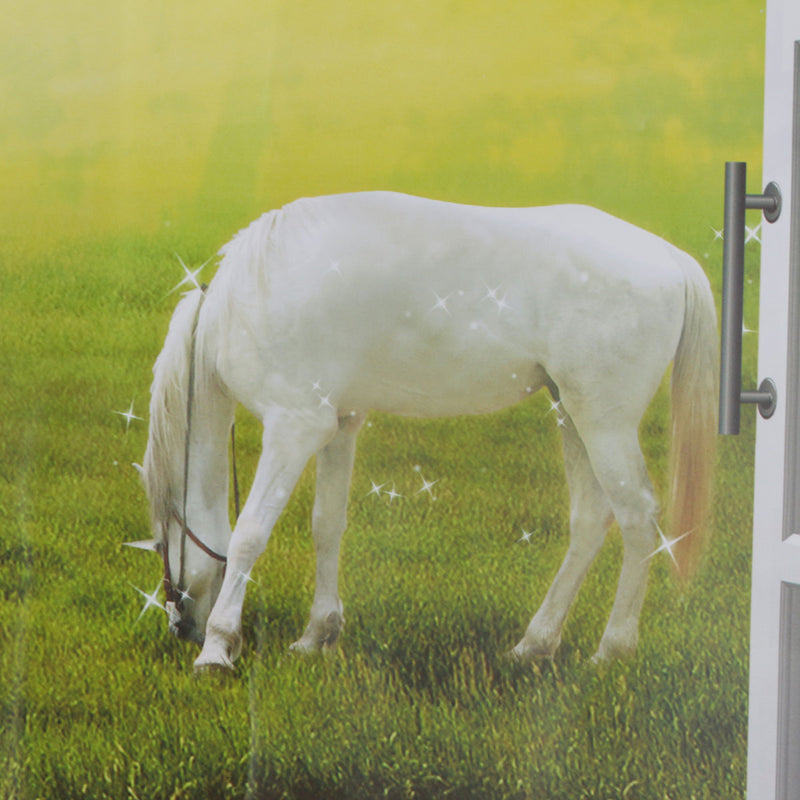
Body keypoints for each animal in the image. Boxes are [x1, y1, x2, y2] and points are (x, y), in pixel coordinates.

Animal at [131, 191, 717, 673]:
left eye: (161, 544)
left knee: (637, 517)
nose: (183, 629)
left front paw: (217, 649)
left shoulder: (293, 428)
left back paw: (613, 648)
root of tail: (672, 258)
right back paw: (534, 644)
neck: (252, 295)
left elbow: (251, 532)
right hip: (573, 414)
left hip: (605, 422)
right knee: (592, 519)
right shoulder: (339, 425)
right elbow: (326, 524)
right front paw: (316, 636)